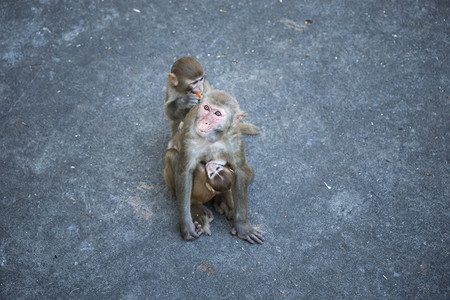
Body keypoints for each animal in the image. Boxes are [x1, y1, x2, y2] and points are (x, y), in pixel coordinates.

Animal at [168, 90, 264, 245]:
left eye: (218, 113)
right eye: (206, 108)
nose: (205, 121)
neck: (213, 137)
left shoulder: (234, 138)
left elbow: (241, 170)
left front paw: (242, 227)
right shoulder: (190, 136)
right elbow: (184, 171)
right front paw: (186, 226)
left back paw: (225, 200)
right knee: (174, 156)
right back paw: (195, 205)